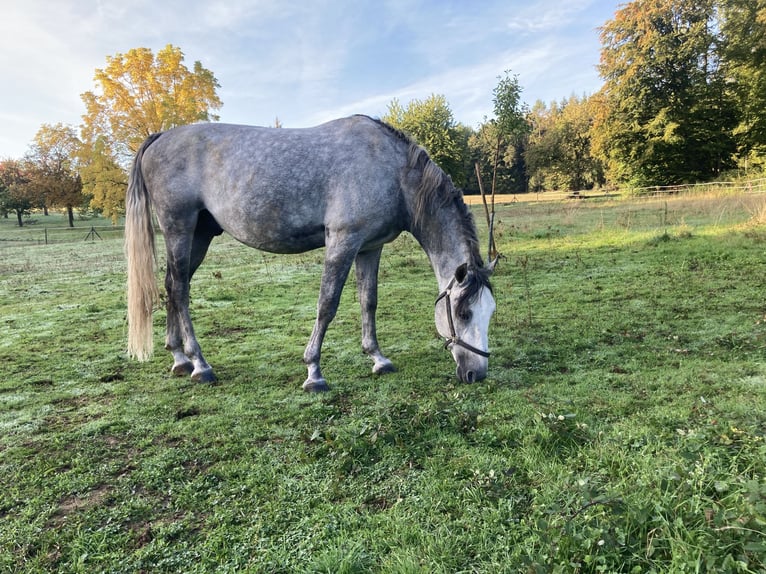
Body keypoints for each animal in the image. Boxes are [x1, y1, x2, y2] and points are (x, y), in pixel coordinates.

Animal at [126, 115, 498, 394]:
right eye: (463, 313)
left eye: (490, 312)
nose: (476, 373)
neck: (392, 171)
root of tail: (160, 137)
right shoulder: (342, 242)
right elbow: (327, 305)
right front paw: (314, 372)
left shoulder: (369, 247)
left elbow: (369, 301)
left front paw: (378, 359)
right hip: (179, 228)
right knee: (180, 290)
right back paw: (200, 365)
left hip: (199, 235)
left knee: (172, 285)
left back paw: (179, 358)